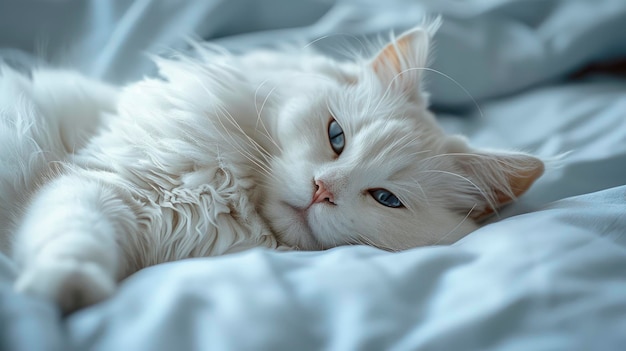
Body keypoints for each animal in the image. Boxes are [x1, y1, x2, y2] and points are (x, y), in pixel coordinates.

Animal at [0, 22, 540, 314]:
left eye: (387, 199)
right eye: (336, 137)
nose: (322, 189)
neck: (222, 198)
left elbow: (75, 237)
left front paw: (67, 289)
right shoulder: (101, 181)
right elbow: (75, 236)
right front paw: (65, 287)